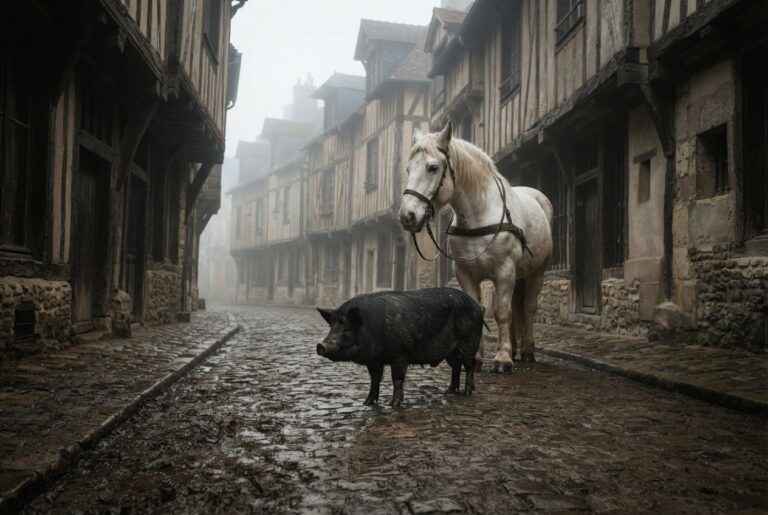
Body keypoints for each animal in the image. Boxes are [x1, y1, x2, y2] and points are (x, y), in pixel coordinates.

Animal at [316, 287, 484, 407]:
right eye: (331, 326)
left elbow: (397, 379)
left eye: (347, 328)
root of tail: (477, 306)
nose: (320, 345)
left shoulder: (400, 355)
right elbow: (374, 380)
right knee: (456, 366)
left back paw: (466, 393)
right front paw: (367, 403)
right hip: (450, 351)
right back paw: (447, 392)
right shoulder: (374, 361)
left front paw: (393, 404)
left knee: (469, 365)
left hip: (469, 341)